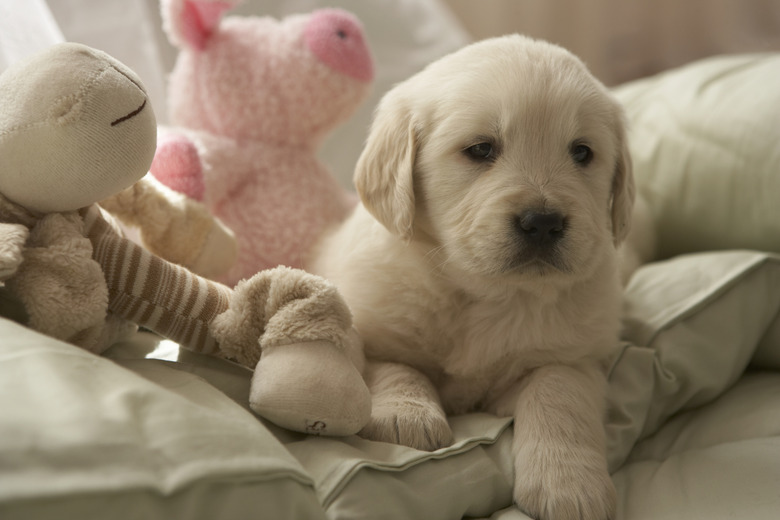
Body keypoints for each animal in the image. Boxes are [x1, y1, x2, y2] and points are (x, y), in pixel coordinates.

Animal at [310, 35, 632, 520]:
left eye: (582, 153)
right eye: (481, 149)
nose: (543, 223)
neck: (484, 293)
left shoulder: (576, 354)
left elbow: (558, 393)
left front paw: (569, 485)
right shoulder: (371, 321)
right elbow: (392, 365)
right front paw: (407, 414)